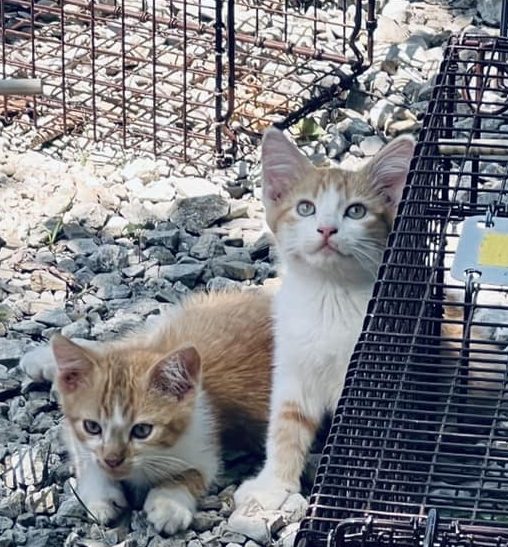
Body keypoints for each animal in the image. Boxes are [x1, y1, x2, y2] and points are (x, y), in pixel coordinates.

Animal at [233, 127, 412, 510]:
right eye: (306, 208)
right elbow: (285, 425)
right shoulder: (293, 365)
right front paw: (272, 486)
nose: (327, 230)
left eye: (356, 211)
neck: (330, 296)